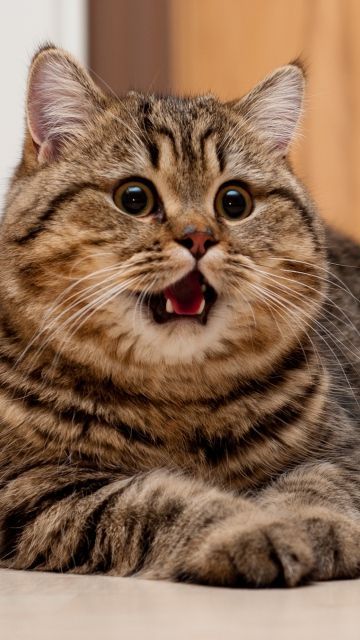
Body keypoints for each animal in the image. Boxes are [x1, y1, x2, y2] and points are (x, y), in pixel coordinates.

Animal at [0, 42, 360, 588]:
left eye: (234, 201)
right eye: (134, 198)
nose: (198, 237)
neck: (178, 399)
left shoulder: (345, 448)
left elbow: (318, 485)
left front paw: (312, 524)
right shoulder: (28, 488)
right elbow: (157, 501)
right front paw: (253, 529)